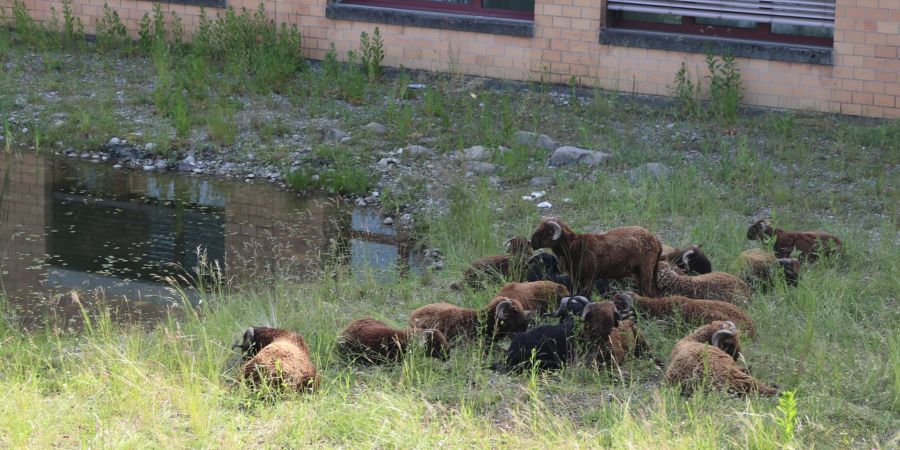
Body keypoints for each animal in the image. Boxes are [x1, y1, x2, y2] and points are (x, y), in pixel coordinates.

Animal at [528, 219, 660, 298]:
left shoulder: (589, 277)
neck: (573, 247)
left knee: (648, 290)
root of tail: (655, 239)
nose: (531, 242)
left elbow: (586, 295)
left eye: (544, 231)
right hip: (638, 270)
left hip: (646, 268)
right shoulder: (576, 278)